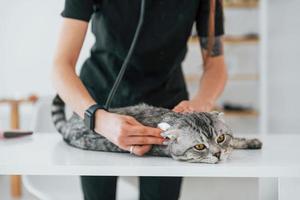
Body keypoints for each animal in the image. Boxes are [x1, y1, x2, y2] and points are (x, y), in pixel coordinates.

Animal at [51, 95, 262, 164]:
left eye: (220, 139)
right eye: (200, 147)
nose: (218, 154)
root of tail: (70, 121)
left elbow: (236, 141)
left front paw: (250, 142)